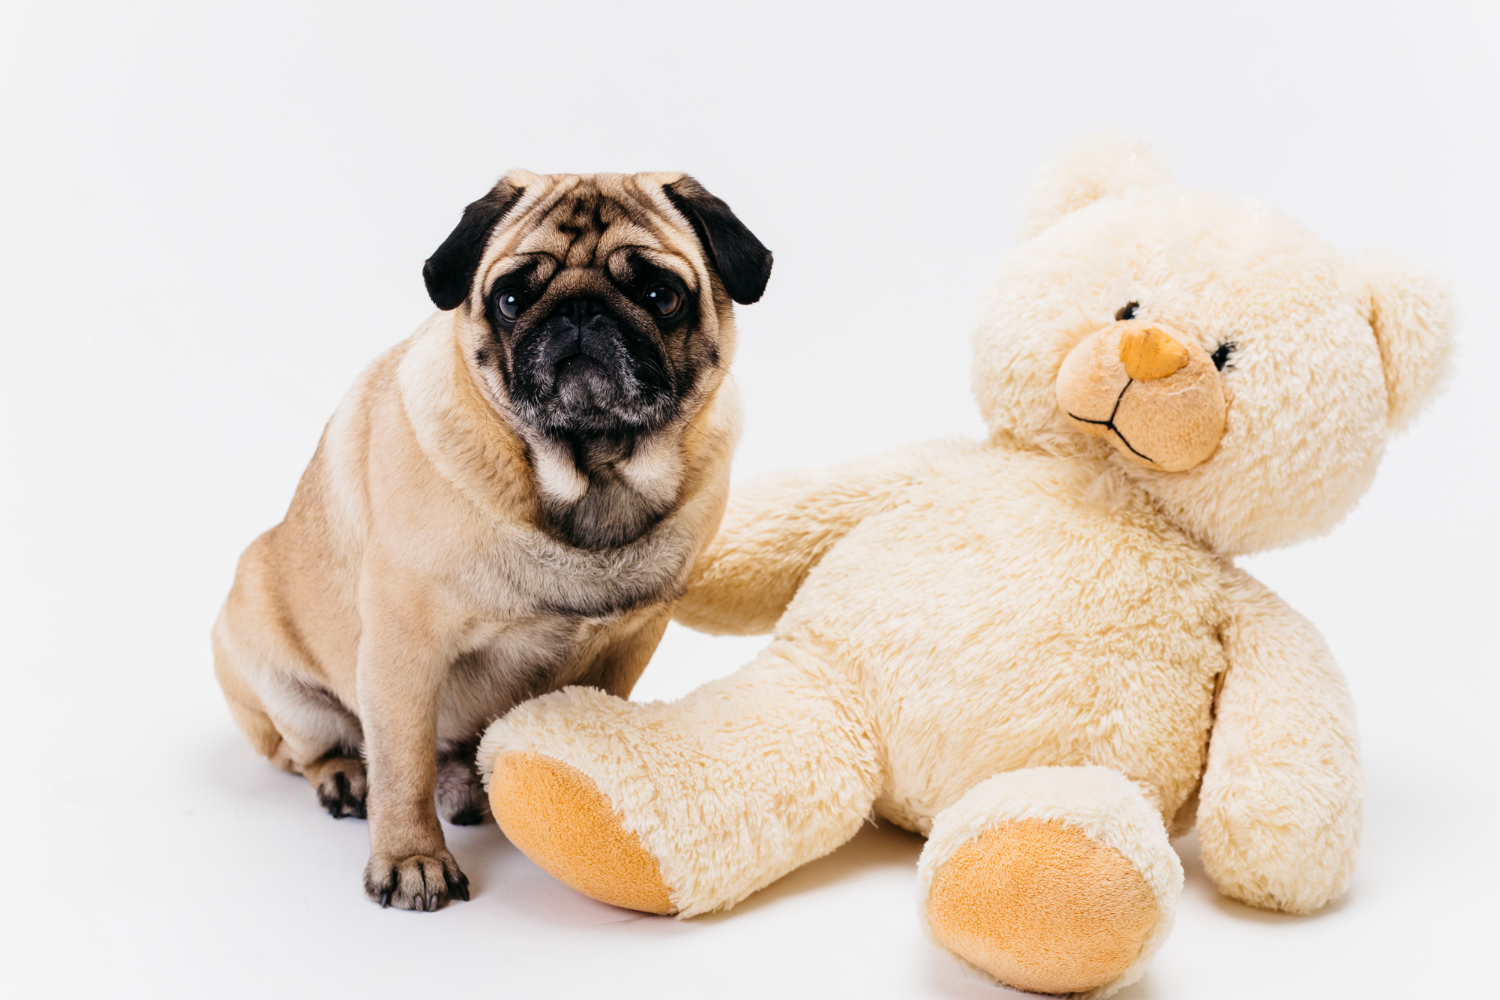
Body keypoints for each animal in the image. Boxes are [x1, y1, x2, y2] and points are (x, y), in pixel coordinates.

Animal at [214, 170, 774, 905]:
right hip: (275, 676)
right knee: (311, 749)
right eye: (511, 300)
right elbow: (402, 767)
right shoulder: (402, 651)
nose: (580, 311)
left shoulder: (630, 639)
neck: (589, 475)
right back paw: (347, 777)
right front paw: (411, 859)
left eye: (662, 295)